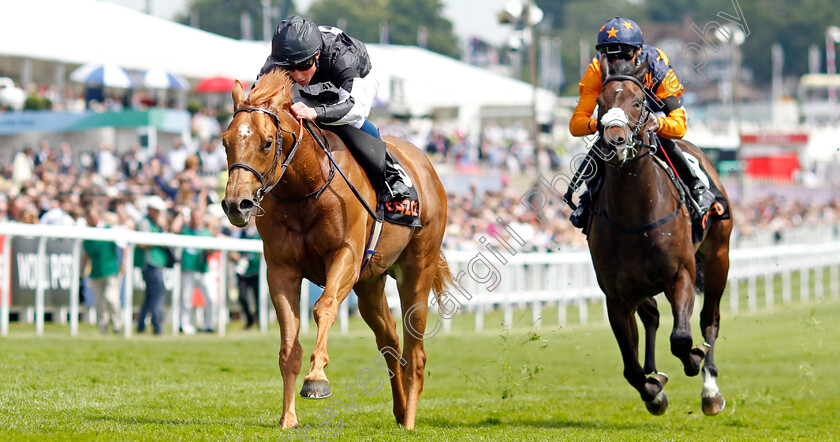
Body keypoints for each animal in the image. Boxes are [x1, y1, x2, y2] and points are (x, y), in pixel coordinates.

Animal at [220, 70, 450, 432]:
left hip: (417, 270)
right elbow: (289, 344)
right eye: (225, 141)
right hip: (370, 284)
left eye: (267, 142)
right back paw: (400, 412)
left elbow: (323, 307)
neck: (307, 187)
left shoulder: (346, 256)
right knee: (390, 342)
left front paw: (317, 379)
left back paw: (411, 419)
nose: (235, 204)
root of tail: (427, 166)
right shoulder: (281, 269)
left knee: (415, 351)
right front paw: (288, 418)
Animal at [588, 59, 732, 418]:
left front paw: (694, 360)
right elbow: (630, 366)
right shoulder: (616, 296)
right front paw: (653, 391)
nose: (615, 141)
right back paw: (655, 372)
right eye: (600, 103)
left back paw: (710, 389)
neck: (635, 218)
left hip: (718, 256)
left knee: (710, 320)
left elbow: (681, 337)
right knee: (651, 318)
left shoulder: (681, 275)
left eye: (638, 103)